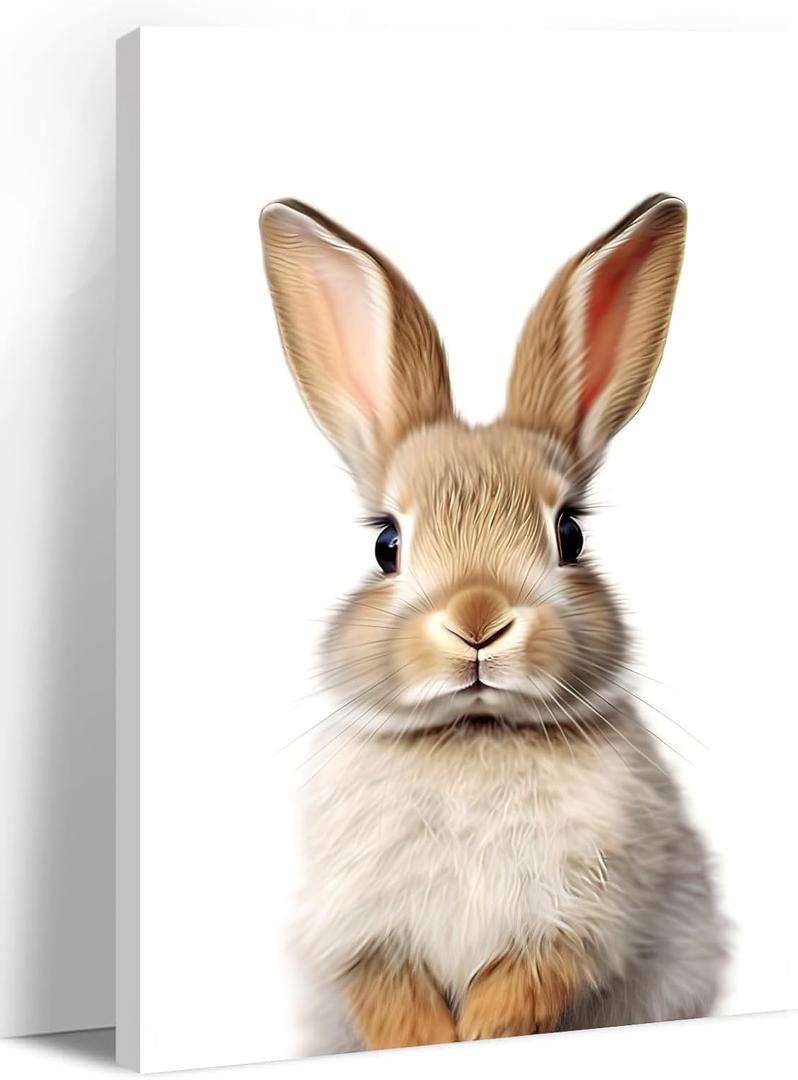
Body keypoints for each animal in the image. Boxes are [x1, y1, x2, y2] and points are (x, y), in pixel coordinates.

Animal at [258, 194, 727, 1055]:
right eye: (386, 544)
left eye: (570, 534)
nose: (478, 620)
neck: (475, 731)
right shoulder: (362, 933)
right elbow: (389, 997)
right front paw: (426, 1044)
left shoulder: (574, 922)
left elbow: (524, 983)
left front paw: (481, 1038)